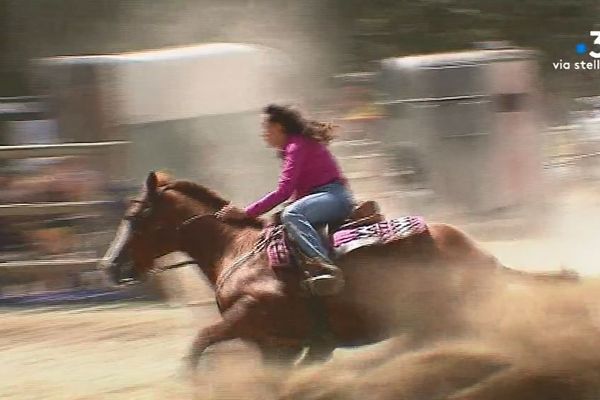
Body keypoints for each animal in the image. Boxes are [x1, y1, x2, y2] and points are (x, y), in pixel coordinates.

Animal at [102, 171, 576, 368]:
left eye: (135, 217)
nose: (110, 266)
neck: (239, 252)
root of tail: (482, 256)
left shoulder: (249, 317)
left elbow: (199, 342)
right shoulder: (278, 344)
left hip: (438, 320)